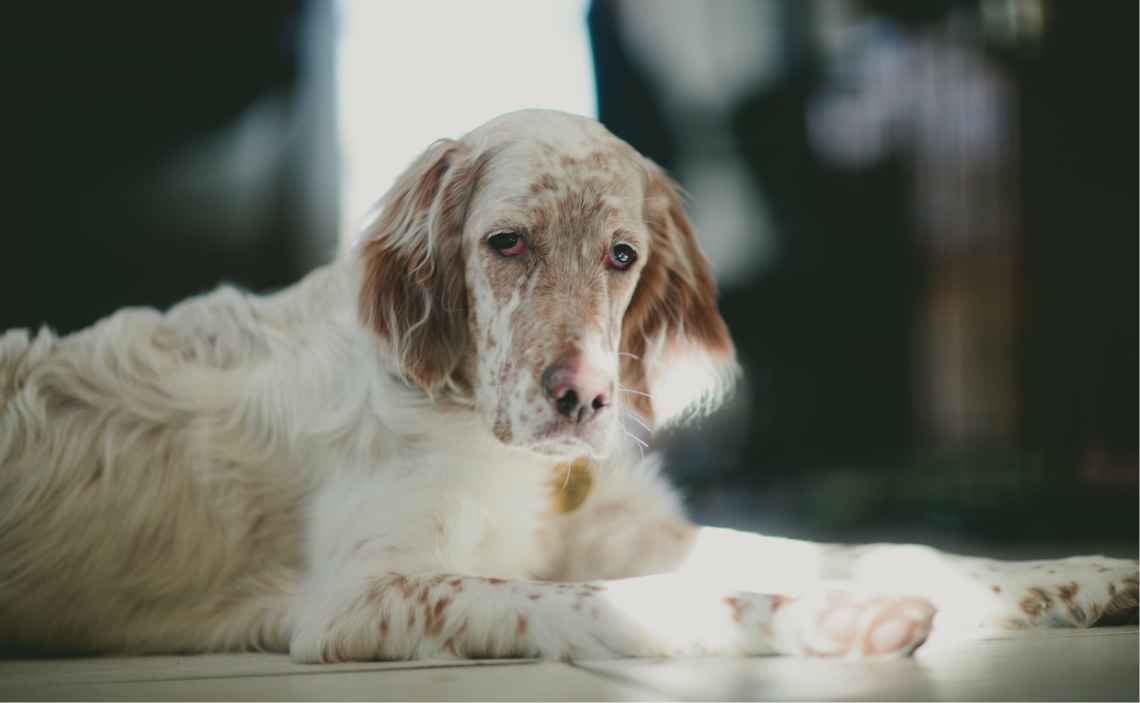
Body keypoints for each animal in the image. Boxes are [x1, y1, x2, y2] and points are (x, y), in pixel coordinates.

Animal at [2, 108, 1140, 656]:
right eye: (504, 242)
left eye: (622, 256)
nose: (582, 398)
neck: (484, 434)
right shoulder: (363, 593)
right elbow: (629, 601)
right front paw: (837, 622)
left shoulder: (628, 527)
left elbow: (879, 548)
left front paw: (1076, 575)